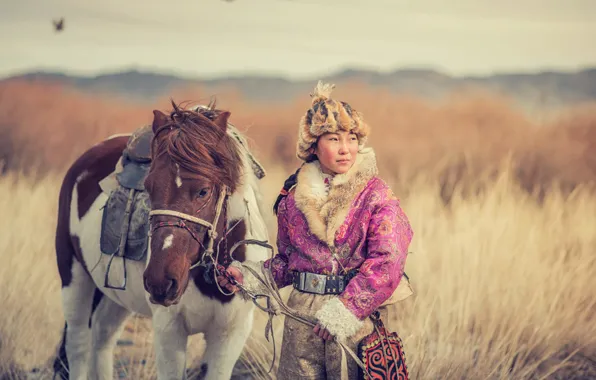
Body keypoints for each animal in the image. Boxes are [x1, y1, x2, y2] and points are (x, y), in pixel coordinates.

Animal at [52, 101, 272, 380]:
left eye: (203, 191)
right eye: (149, 187)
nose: (160, 281)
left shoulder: (230, 335)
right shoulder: (169, 331)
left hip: (116, 298)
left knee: (102, 337)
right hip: (74, 277)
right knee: (78, 345)